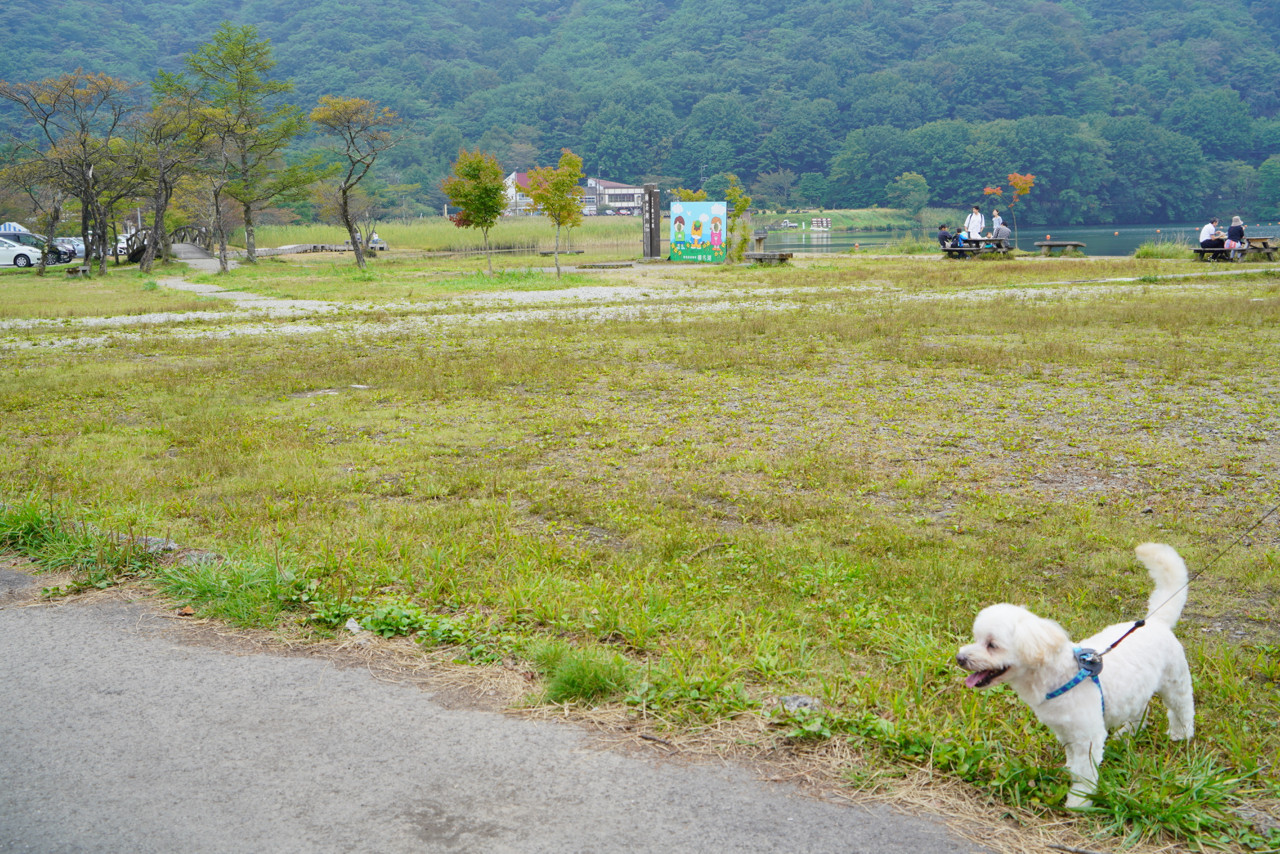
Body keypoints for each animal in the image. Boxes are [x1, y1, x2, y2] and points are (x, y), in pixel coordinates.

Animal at [955, 543, 1195, 809]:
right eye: (977, 639)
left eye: (992, 645)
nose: (960, 658)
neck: (1059, 676)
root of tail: (1157, 622)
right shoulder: (1066, 731)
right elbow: (1073, 760)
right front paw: (1069, 770)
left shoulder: (1087, 737)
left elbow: (1085, 772)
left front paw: (1079, 800)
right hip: (1135, 691)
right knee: (1140, 709)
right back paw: (1128, 733)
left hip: (1175, 680)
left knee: (1182, 706)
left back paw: (1181, 734)